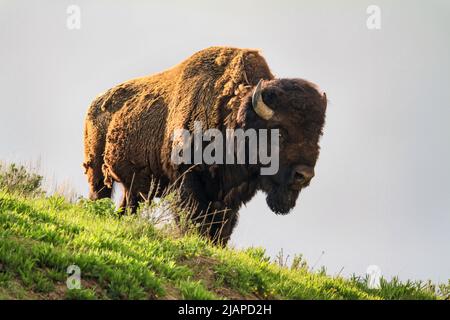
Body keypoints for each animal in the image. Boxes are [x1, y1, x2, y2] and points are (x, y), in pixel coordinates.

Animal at [82, 46, 326, 244]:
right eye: (280, 131)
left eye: (318, 134)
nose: (304, 175)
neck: (231, 117)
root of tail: (94, 104)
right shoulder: (188, 179)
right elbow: (193, 217)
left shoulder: (228, 197)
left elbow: (221, 228)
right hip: (97, 172)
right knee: (100, 194)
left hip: (137, 188)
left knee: (128, 206)